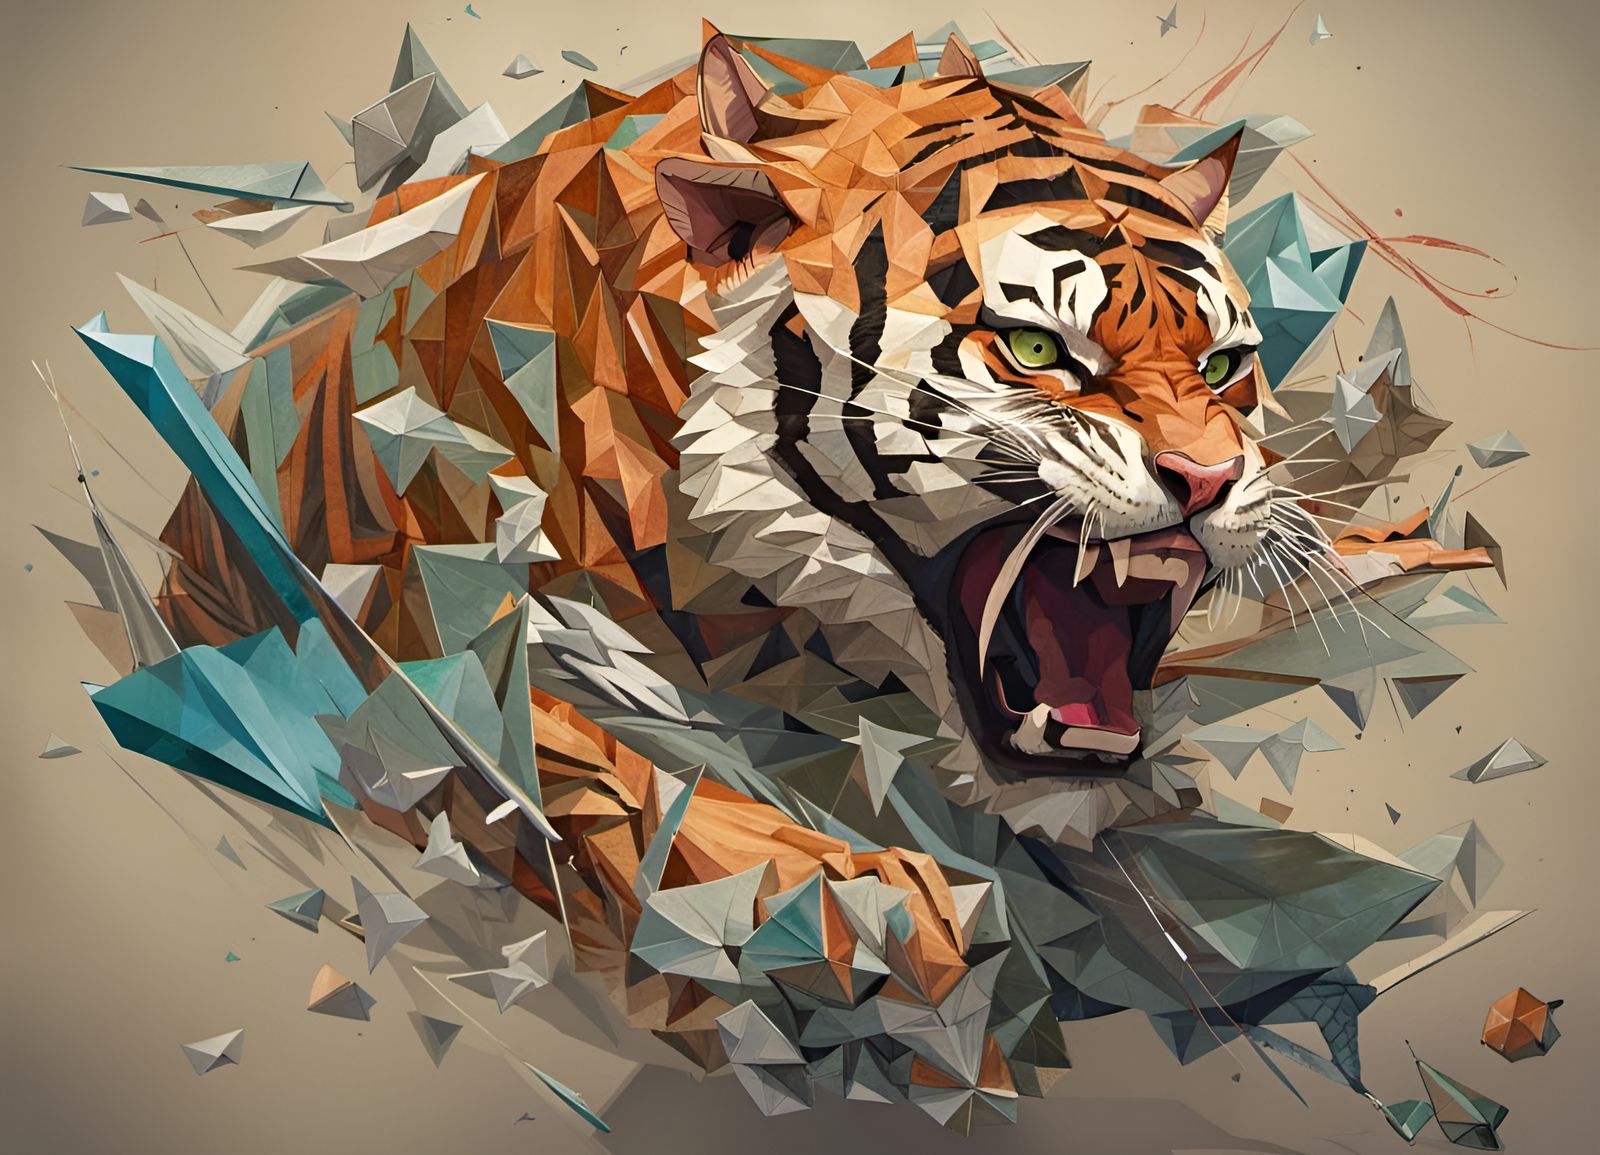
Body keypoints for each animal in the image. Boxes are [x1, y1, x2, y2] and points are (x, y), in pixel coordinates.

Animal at [108, 23, 1470, 1127]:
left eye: (1229, 367)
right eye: (1036, 351)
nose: (1206, 478)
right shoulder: (410, 611)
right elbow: (593, 769)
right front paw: (872, 918)